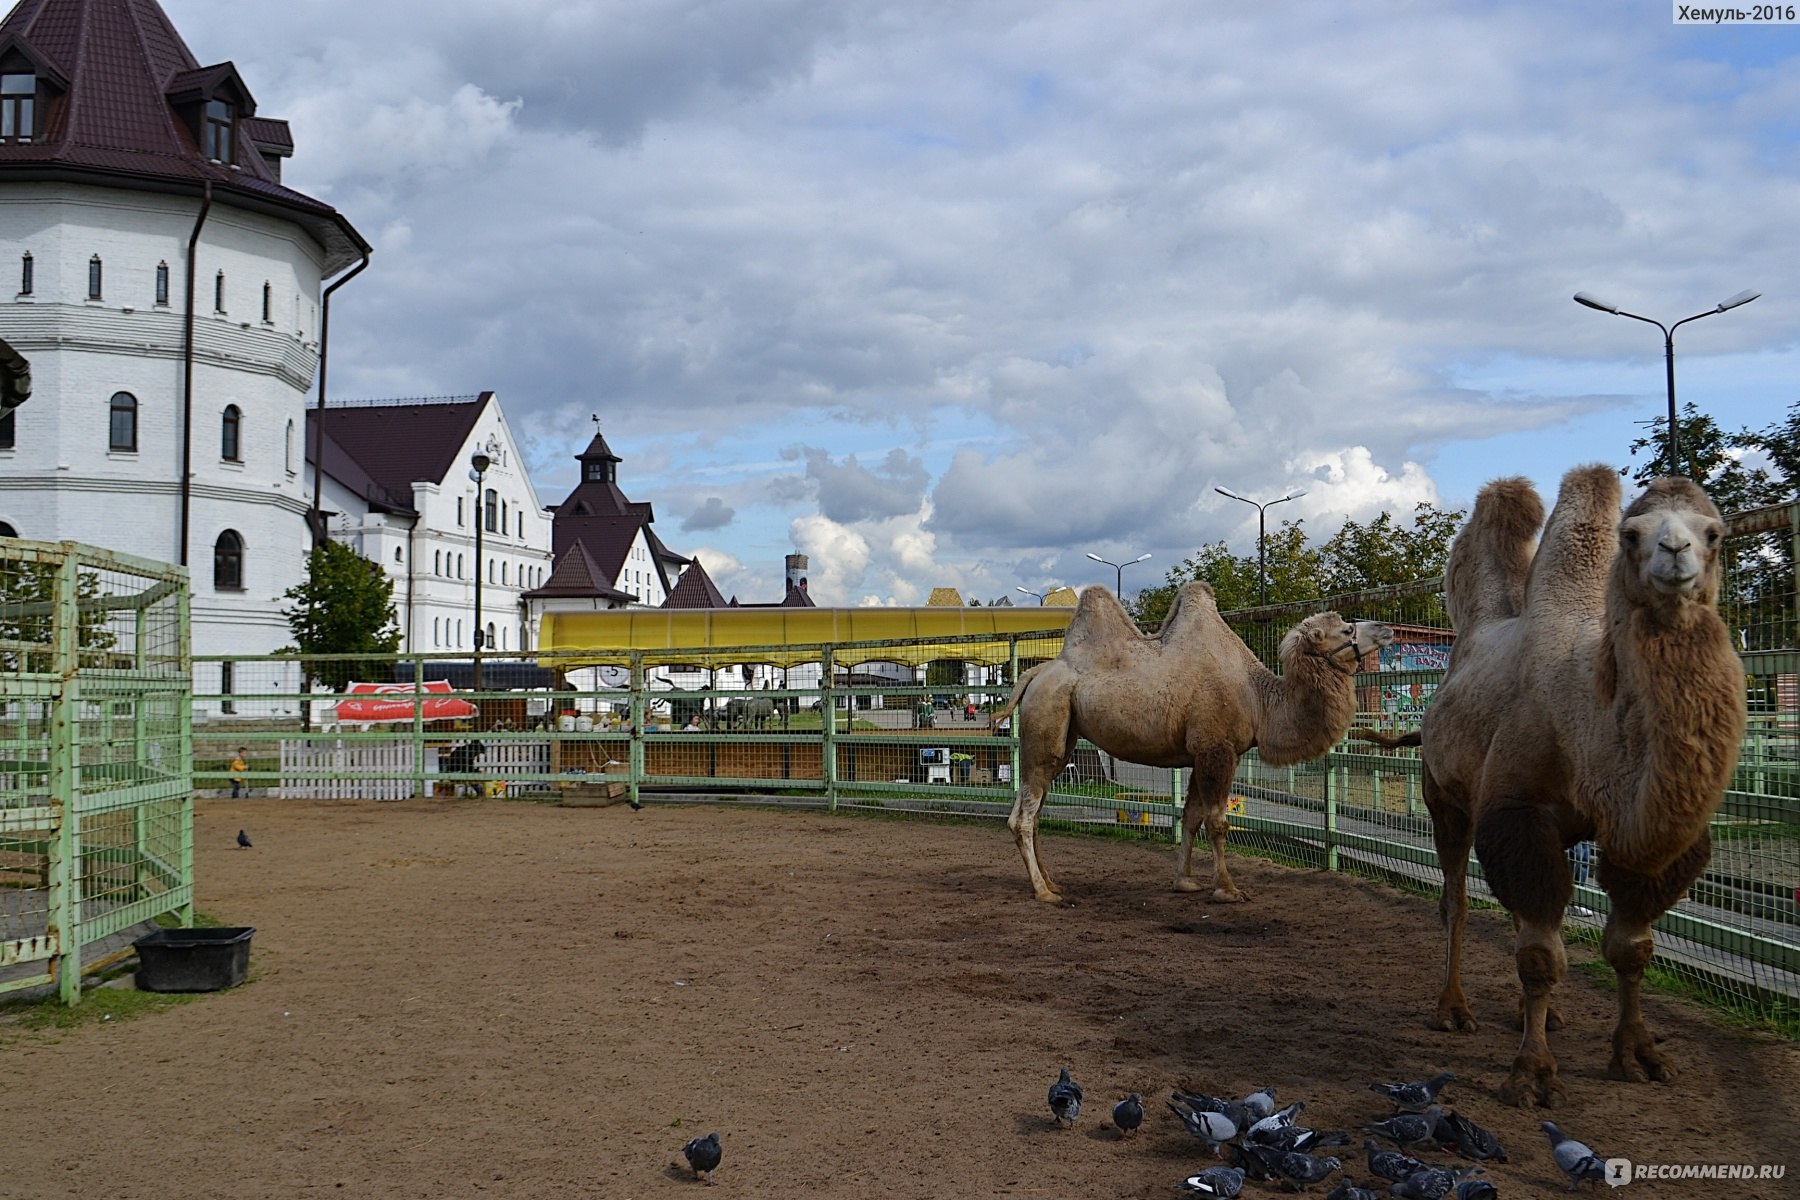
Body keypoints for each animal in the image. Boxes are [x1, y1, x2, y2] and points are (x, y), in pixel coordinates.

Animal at [986, 586, 1389, 906]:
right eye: (1346, 628)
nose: (1386, 629)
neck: (1259, 699)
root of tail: (1035, 673)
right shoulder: (1217, 749)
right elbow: (1217, 822)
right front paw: (1228, 889)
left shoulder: (1201, 755)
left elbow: (1191, 817)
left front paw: (1185, 882)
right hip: (1047, 721)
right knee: (1023, 815)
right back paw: (1044, 892)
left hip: (1062, 730)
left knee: (1037, 810)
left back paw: (1052, 882)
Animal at [1360, 467, 1742, 1108]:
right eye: (1631, 535)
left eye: (1714, 533)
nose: (1676, 554)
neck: (1586, 719)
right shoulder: (1517, 812)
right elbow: (1540, 955)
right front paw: (1533, 1074)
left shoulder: (1626, 833)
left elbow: (1630, 946)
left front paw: (1639, 1053)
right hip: (1446, 799)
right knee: (1457, 901)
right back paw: (1453, 1010)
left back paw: (1539, 1015)